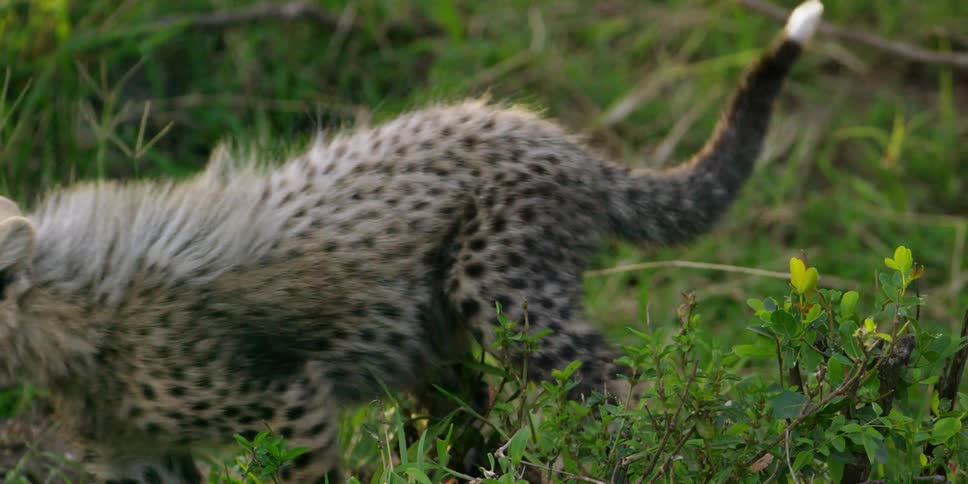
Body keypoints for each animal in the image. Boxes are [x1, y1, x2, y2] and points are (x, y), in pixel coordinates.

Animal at [0, 1, 824, 482]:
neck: (65, 308)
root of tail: (551, 136)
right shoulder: (148, 457)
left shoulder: (289, 401)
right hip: (434, 341)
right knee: (470, 415)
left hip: (501, 291)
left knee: (615, 383)